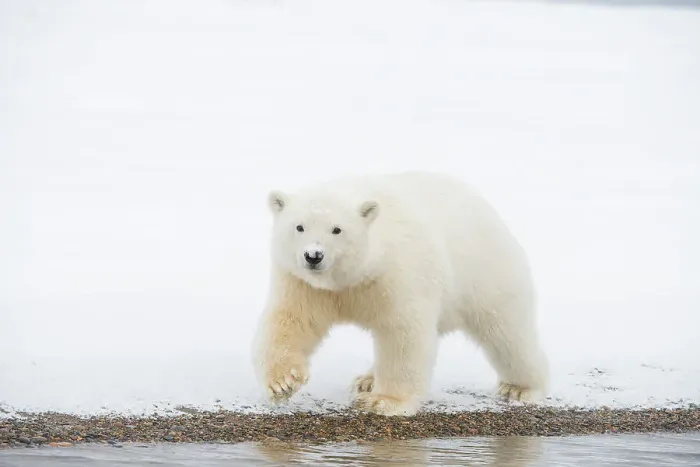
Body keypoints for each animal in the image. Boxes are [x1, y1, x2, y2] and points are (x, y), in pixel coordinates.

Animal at [251, 171, 549, 416]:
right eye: (299, 226)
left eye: (337, 229)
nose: (313, 255)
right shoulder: (303, 283)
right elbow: (292, 320)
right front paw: (282, 383)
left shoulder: (397, 273)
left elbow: (403, 332)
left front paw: (383, 401)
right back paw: (366, 379)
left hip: (485, 270)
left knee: (507, 332)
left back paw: (520, 387)